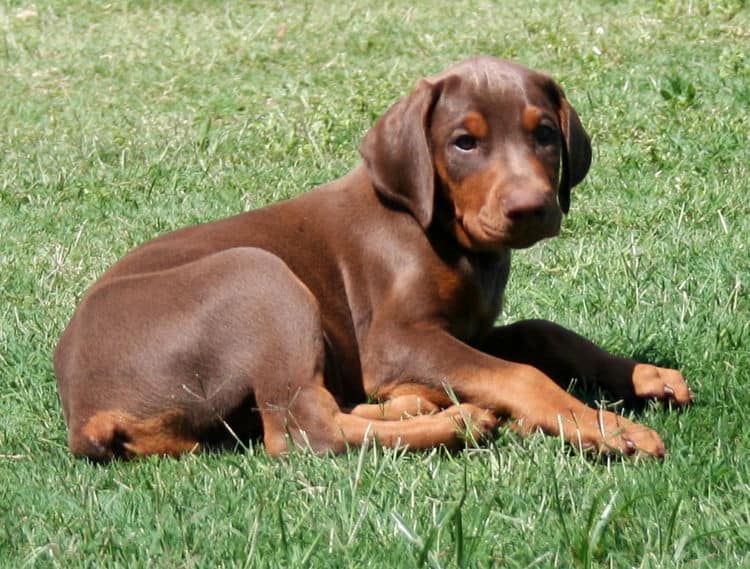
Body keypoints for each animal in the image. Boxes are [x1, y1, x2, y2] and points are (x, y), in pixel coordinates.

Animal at [55, 56, 696, 462]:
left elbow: (541, 332)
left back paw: (420, 403)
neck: (446, 234)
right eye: (464, 142)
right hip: (258, 277)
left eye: (543, 133)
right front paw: (604, 427)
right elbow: (520, 373)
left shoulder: (464, 328)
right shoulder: (394, 339)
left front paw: (644, 375)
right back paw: (455, 419)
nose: (531, 209)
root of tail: (85, 415)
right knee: (303, 430)